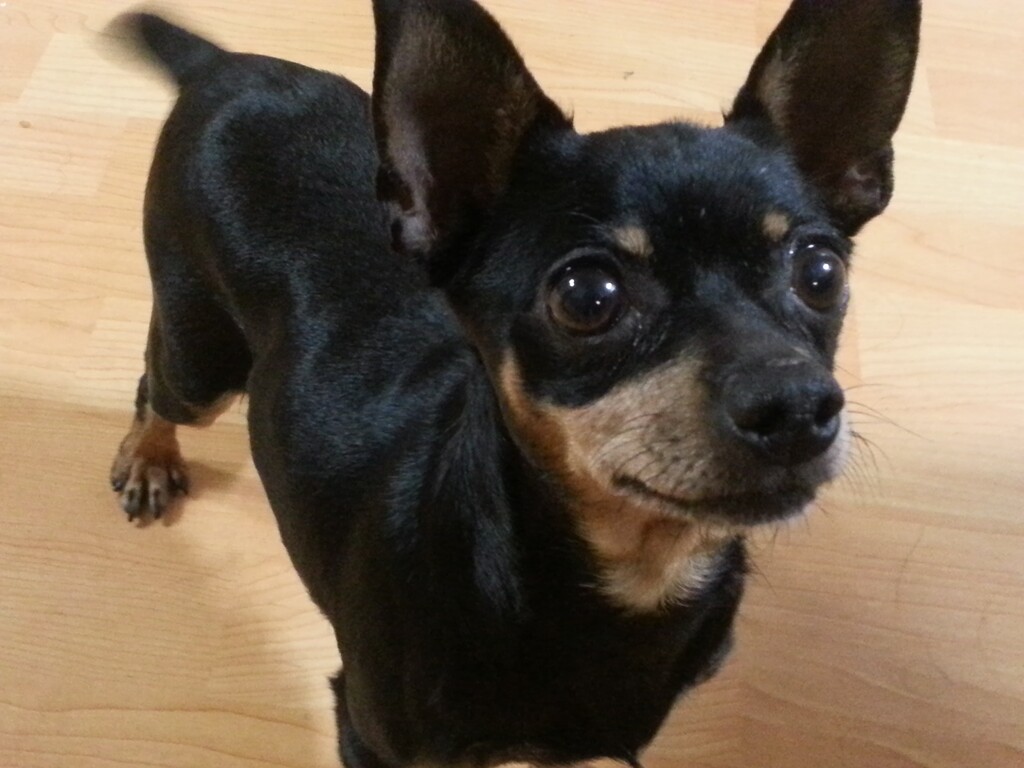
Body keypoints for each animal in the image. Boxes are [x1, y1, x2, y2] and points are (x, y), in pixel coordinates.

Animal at [107, 1, 920, 766]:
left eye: (821, 272)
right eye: (587, 295)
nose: (798, 406)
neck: (635, 580)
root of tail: (222, 66)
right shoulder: (371, 738)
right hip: (202, 359)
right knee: (155, 382)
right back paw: (149, 460)